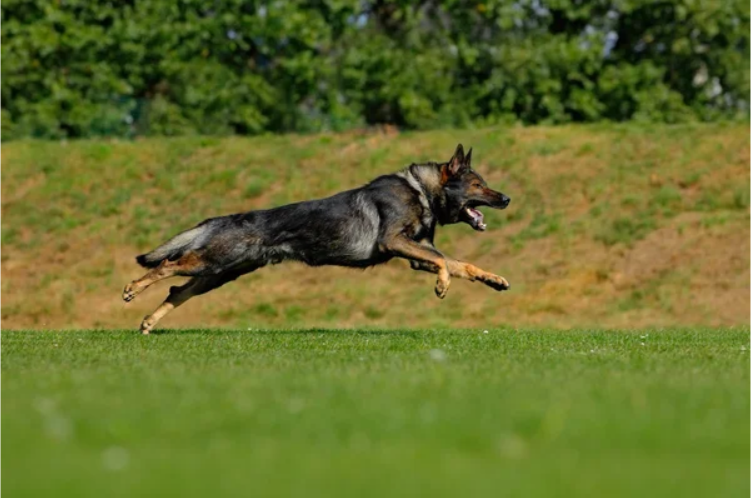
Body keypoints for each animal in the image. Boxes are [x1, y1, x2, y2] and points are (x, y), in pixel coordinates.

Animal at [123, 144, 512, 332]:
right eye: (478, 185)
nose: (507, 199)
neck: (421, 191)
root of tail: (224, 219)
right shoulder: (396, 243)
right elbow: (444, 263)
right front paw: (443, 286)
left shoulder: (418, 255)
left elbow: (461, 264)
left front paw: (494, 279)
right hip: (214, 262)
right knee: (167, 264)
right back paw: (132, 289)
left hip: (220, 273)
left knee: (178, 290)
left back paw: (148, 323)